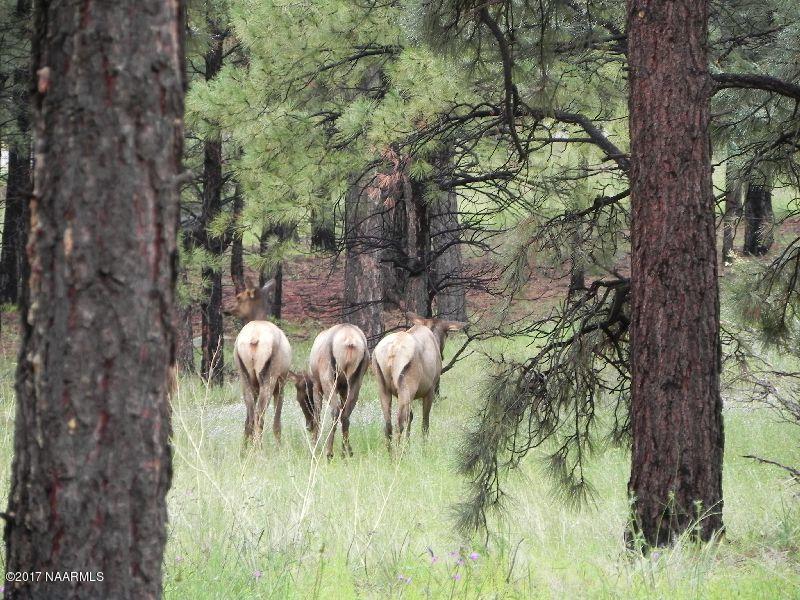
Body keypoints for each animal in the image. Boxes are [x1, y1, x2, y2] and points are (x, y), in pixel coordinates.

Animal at [225, 277, 292, 449]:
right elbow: (277, 421)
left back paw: (244, 450)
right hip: (269, 376)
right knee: (260, 414)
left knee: (250, 416)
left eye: (238, 297)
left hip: (244, 375)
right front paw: (279, 447)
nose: (226, 309)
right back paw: (259, 449)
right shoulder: (282, 380)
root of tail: (254, 339)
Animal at [289, 324, 369, 459]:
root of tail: (350, 342)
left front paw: (314, 447)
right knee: (345, 413)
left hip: (327, 375)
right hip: (357, 378)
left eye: (301, 398)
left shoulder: (317, 385)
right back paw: (346, 453)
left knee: (335, 410)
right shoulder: (343, 387)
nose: (308, 426)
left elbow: (317, 414)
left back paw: (329, 452)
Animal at [372, 312, 465, 449]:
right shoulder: (430, 389)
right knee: (399, 422)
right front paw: (424, 446)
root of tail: (392, 351)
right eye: (447, 334)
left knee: (388, 425)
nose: (442, 356)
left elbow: (411, 417)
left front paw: (408, 445)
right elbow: (425, 422)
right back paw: (398, 452)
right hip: (406, 386)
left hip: (382, 387)